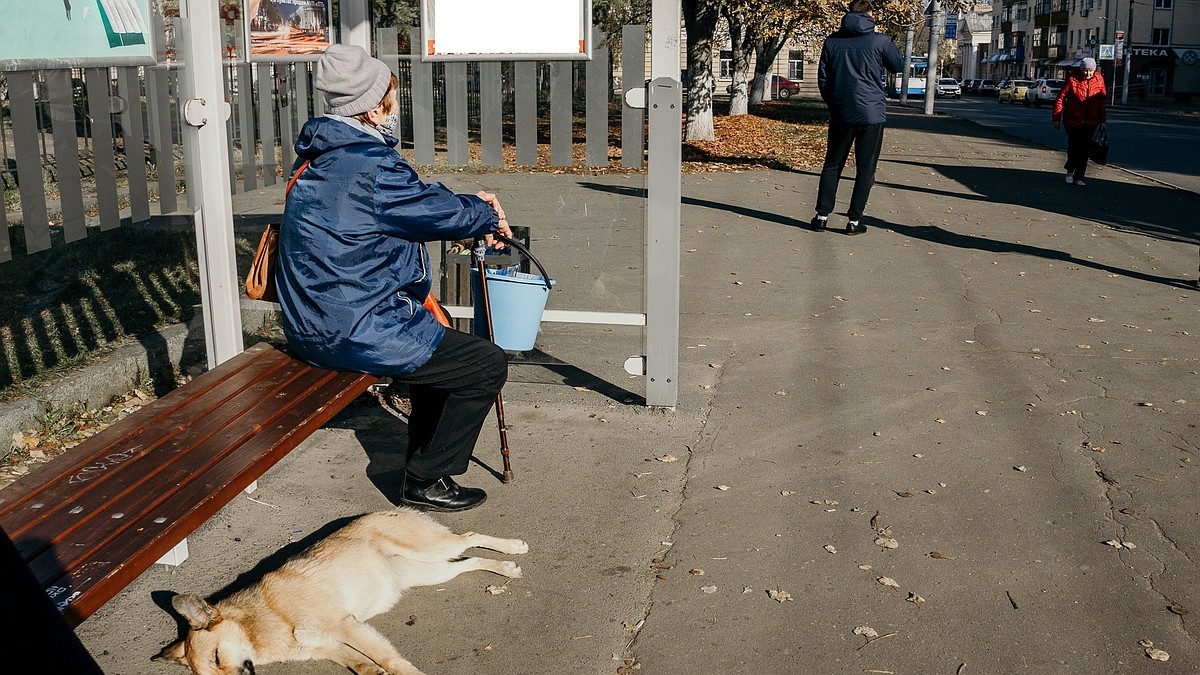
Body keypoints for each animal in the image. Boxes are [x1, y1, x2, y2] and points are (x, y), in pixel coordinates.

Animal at [151, 506, 525, 672]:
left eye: (217, 657)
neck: (266, 621)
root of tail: (387, 509)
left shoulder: (345, 626)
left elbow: (390, 660)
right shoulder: (330, 645)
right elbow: (361, 664)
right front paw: (370, 670)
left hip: (431, 550)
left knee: (470, 538)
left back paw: (513, 547)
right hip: (427, 573)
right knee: (468, 561)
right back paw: (504, 568)